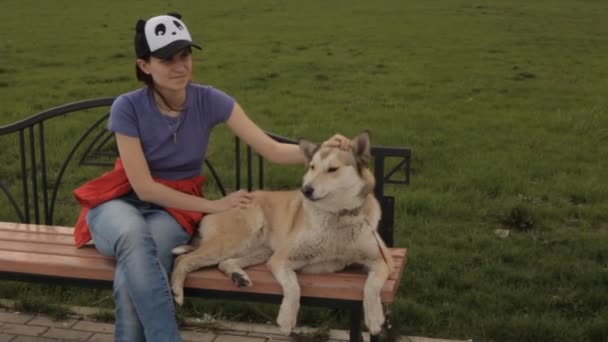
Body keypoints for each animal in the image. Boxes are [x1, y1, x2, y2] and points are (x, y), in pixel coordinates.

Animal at [171, 132, 394, 336]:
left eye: (333, 169)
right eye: (312, 167)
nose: (305, 190)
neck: (338, 217)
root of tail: (218, 203)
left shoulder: (382, 260)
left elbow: (372, 286)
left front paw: (374, 318)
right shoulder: (280, 259)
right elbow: (293, 287)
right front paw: (287, 318)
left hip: (260, 250)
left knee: (224, 262)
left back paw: (238, 276)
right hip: (235, 241)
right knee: (183, 259)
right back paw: (176, 292)